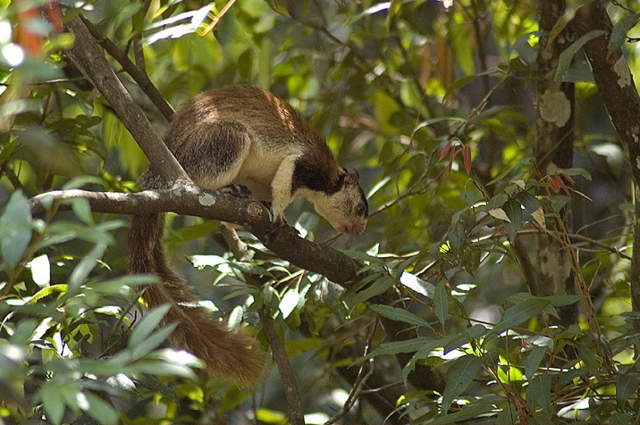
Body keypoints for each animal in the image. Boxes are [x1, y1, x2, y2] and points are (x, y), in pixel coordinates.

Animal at [129, 83, 370, 384]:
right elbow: (284, 185)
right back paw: (223, 189)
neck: (329, 181)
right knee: (200, 177)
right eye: (360, 208)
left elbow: (267, 192)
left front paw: (272, 213)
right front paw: (278, 215)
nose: (360, 230)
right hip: (222, 143)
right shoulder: (303, 164)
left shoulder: (261, 181)